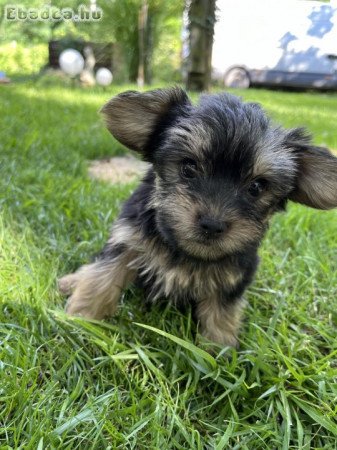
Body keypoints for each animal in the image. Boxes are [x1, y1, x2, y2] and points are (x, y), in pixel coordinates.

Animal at [59, 88, 336, 348]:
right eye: (189, 167)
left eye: (257, 187)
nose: (212, 225)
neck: (182, 249)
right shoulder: (128, 239)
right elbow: (103, 278)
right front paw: (81, 319)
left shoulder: (233, 274)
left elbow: (222, 313)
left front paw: (218, 353)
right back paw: (71, 281)